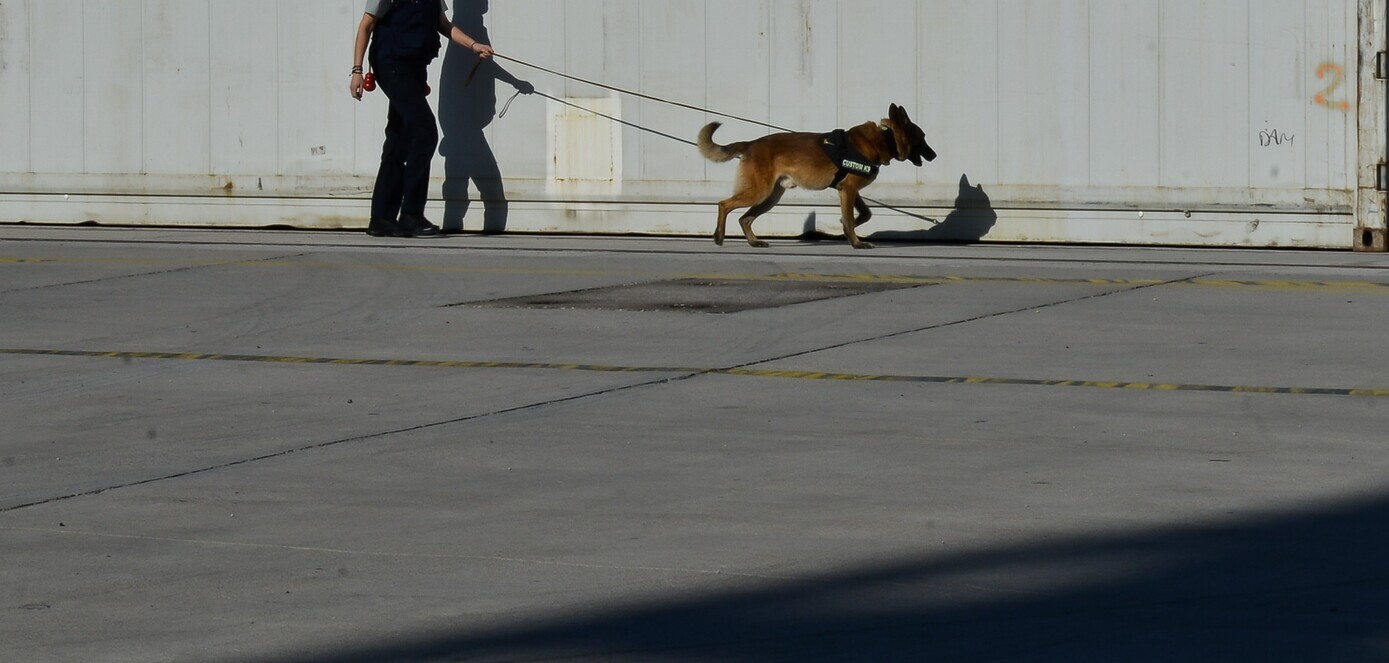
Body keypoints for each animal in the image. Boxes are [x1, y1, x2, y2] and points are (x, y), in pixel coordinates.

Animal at [700, 103, 938, 247]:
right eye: (923, 138)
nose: (934, 155)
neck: (884, 138)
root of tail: (750, 144)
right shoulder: (849, 190)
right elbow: (851, 218)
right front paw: (856, 242)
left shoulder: (849, 190)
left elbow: (864, 214)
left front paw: (846, 226)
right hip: (759, 192)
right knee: (724, 205)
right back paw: (719, 236)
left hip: (769, 198)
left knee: (744, 218)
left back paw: (753, 241)